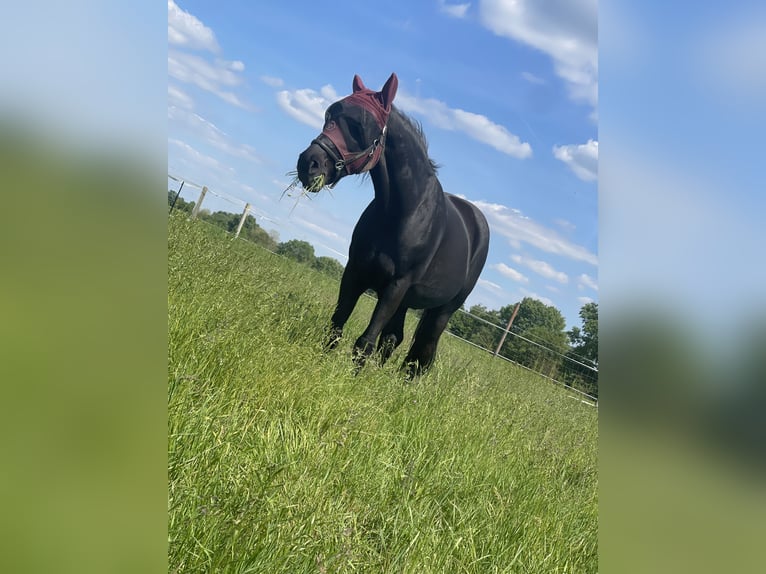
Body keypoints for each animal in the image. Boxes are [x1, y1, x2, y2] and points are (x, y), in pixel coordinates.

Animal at [296, 73, 488, 378]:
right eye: (329, 116)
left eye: (359, 125)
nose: (309, 164)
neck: (400, 212)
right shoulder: (355, 272)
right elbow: (337, 325)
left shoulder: (395, 286)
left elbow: (365, 341)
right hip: (407, 302)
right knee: (394, 339)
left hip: (442, 311)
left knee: (423, 352)